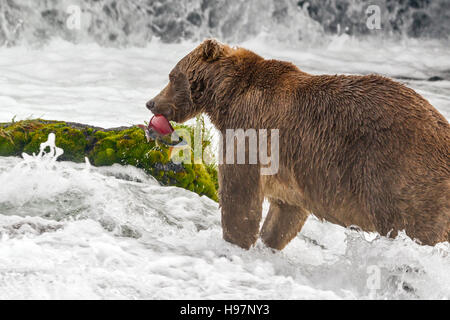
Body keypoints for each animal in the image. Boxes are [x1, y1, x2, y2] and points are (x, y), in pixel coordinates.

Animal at [146, 38, 448, 249]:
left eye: (172, 75)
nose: (151, 102)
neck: (227, 96)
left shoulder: (251, 129)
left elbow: (239, 191)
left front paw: (235, 239)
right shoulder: (291, 172)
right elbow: (285, 211)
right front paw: (267, 241)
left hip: (402, 177)